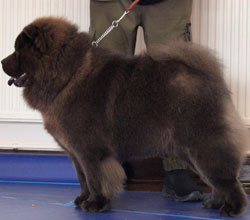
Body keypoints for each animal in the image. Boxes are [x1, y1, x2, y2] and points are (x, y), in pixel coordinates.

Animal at [0, 17, 249, 217]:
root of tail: (208, 77)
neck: (68, 75)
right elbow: (82, 179)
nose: (2, 62)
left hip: (202, 145)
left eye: (18, 51)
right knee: (216, 179)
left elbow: (95, 179)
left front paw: (95, 204)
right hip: (189, 151)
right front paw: (82, 199)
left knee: (227, 179)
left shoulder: (90, 151)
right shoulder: (75, 153)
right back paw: (215, 202)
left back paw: (233, 208)